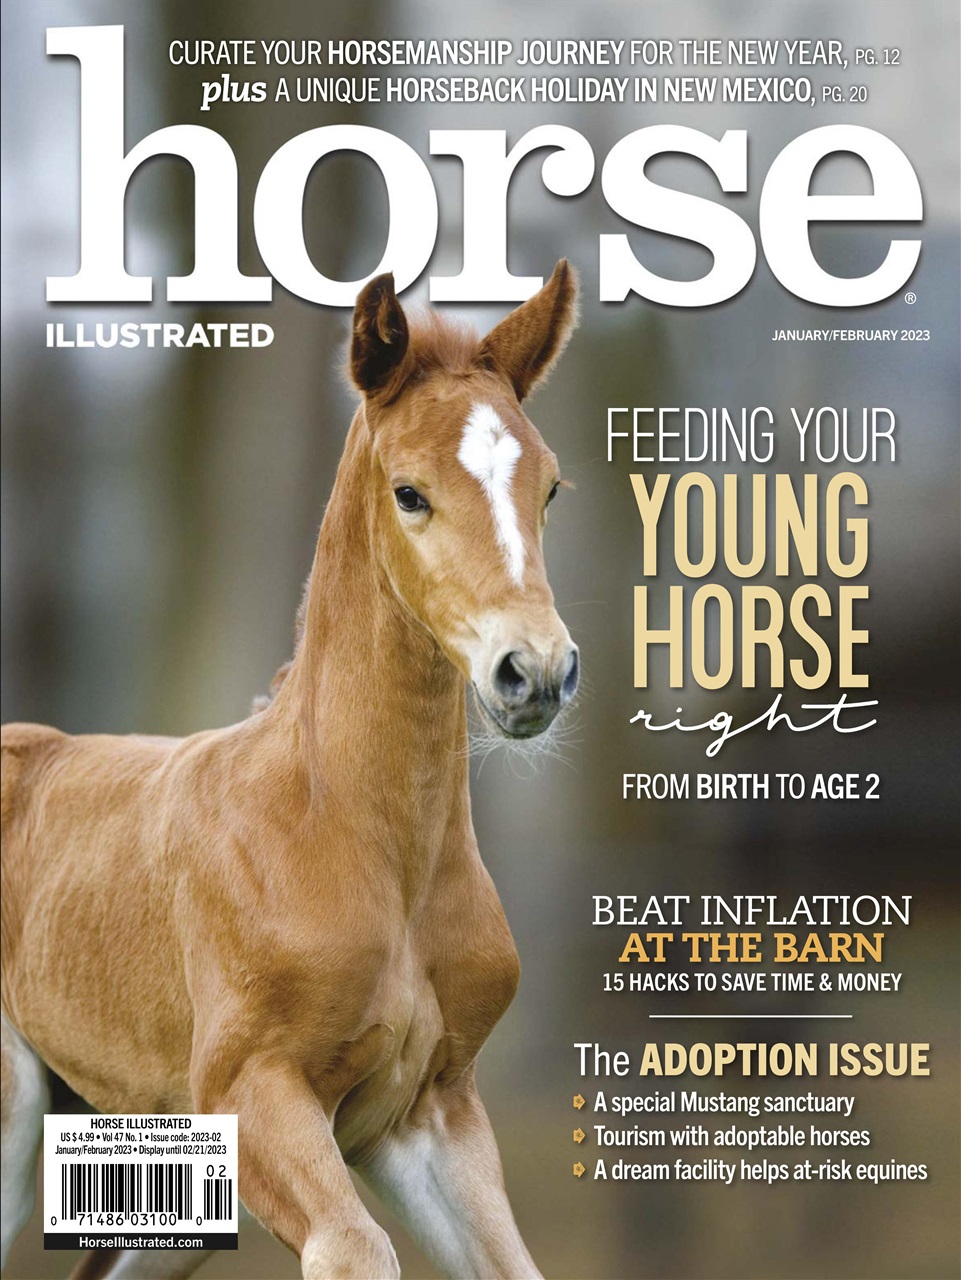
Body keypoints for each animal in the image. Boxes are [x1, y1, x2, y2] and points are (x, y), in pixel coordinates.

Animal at [0, 261, 579, 1280]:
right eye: (408, 492)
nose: (535, 671)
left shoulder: (431, 1113)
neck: (348, 834)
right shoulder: (248, 1088)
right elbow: (355, 1249)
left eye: (548, 489)